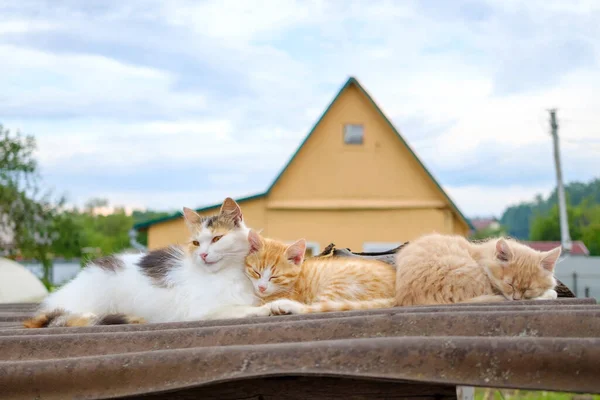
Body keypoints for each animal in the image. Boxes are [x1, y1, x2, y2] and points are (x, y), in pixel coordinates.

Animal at [22, 198, 272, 328]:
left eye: (217, 239)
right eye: (196, 243)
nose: (202, 255)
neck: (229, 274)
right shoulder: (205, 310)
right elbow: (245, 310)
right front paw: (271, 309)